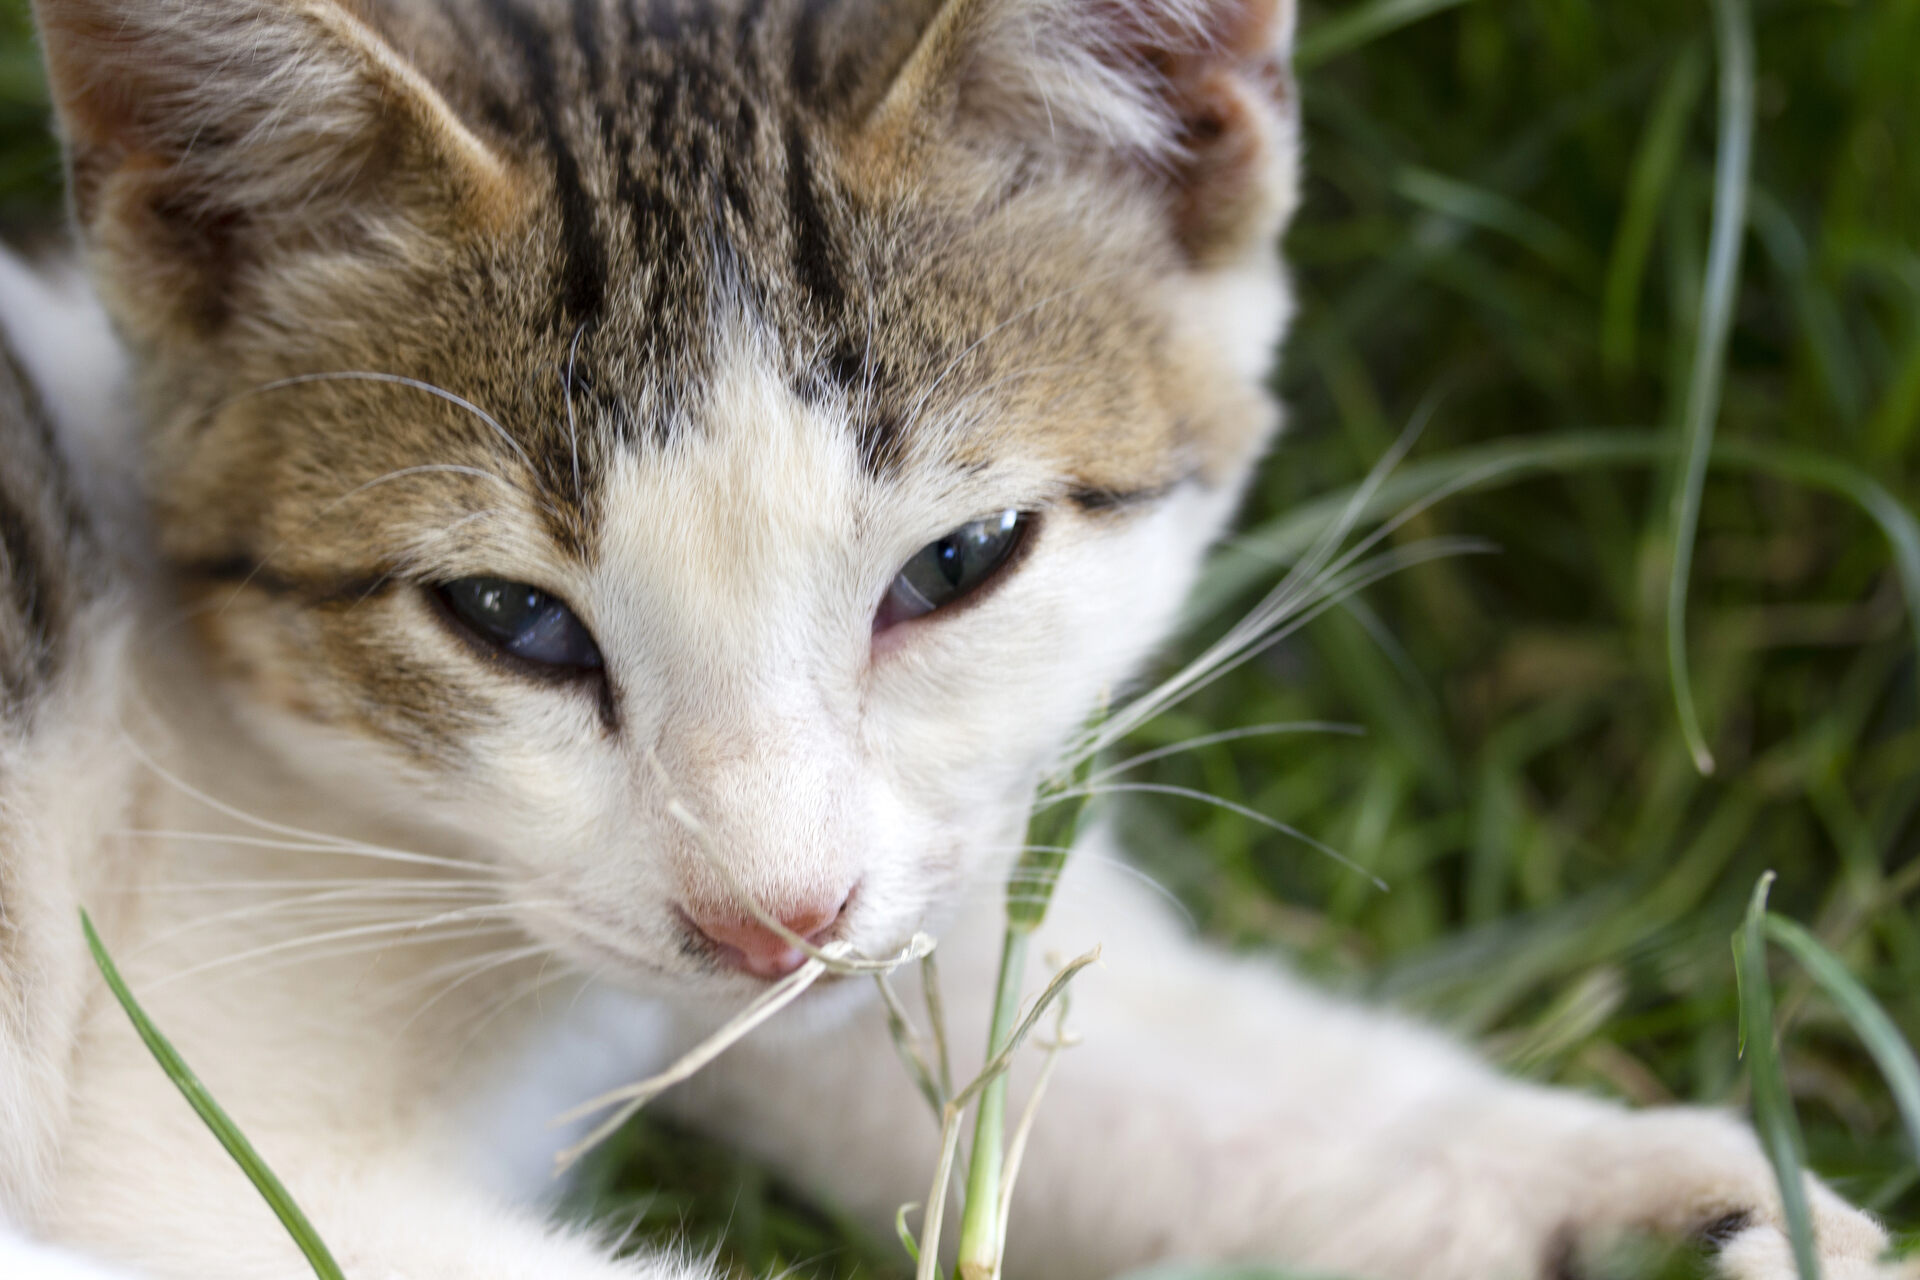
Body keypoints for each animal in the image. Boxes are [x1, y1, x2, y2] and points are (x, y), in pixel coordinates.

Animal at [0, 0, 1904, 1274]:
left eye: (963, 563)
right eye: (508, 618)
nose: (769, 921)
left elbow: (1082, 1070)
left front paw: (1655, 1202)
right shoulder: (190, 1163)